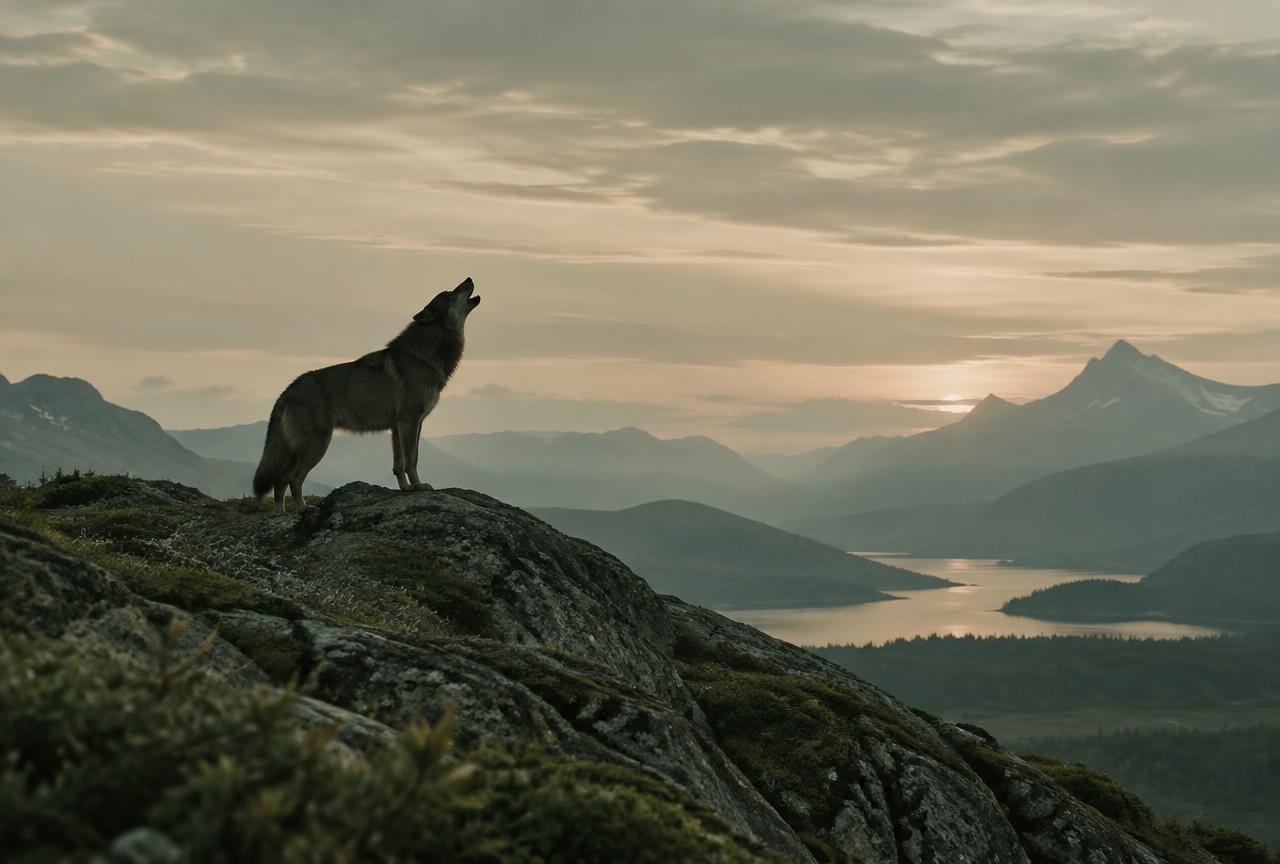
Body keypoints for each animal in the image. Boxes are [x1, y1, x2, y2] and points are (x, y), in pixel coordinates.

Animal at [253, 277, 481, 513]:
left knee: (280, 482)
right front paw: (419, 486)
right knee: (293, 479)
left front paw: (406, 489)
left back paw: (281, 514)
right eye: (450, 294)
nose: (469, 278)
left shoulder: (398, 427)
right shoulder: (411, 422)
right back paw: (305, 508)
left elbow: (399, 465)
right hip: (317, 446)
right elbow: (412, 460)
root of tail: (285, 392)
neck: (423, 356)